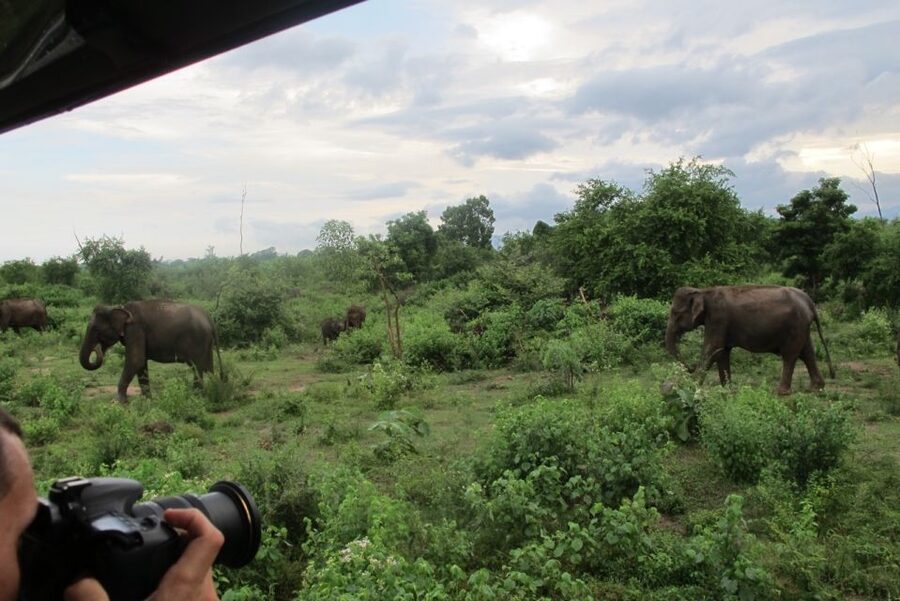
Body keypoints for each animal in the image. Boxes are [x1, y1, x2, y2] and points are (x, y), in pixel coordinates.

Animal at [79, 300, 221, 402]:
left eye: (95, 329)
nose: (97, 348)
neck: (118, 307)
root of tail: (209, 318)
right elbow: (141, 364)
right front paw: (147, 400)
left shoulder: (135, 329)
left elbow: (136, 360)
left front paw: (118, 402)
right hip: (206, 343)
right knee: (207, 368)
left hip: (199, 339)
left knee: (197, 368)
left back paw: (196, 396)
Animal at [665, 285, 835, 395]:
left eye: (676, 313)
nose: (691, 367)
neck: (704, 291)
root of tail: (809, 301)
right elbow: (722, 352)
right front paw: (728, 390)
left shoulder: (718, 318)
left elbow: (713, 348)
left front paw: (688, 386)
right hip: (802, 326)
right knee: (807, 352)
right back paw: (815, 389)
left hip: (796, 325)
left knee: (790, 355)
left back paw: (781, 392)